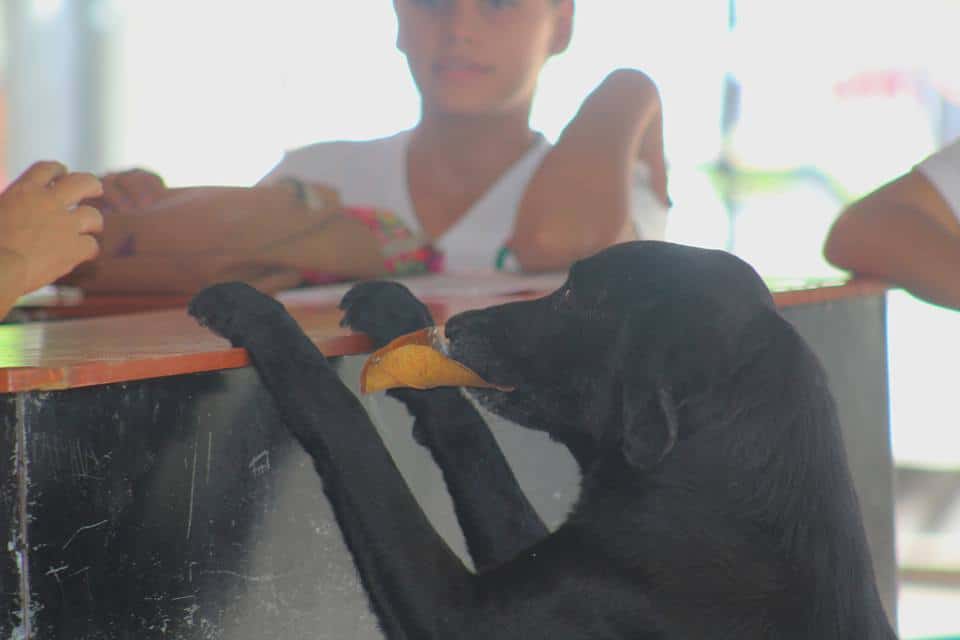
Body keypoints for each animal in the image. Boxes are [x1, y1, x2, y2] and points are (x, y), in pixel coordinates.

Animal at [189, 242, 900, 636]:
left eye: (572, 296)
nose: (458, 324)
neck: (711, 496)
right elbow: (473, 442)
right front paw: (403, 317)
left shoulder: (459, 615)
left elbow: (348, 429)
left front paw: (266, 320)